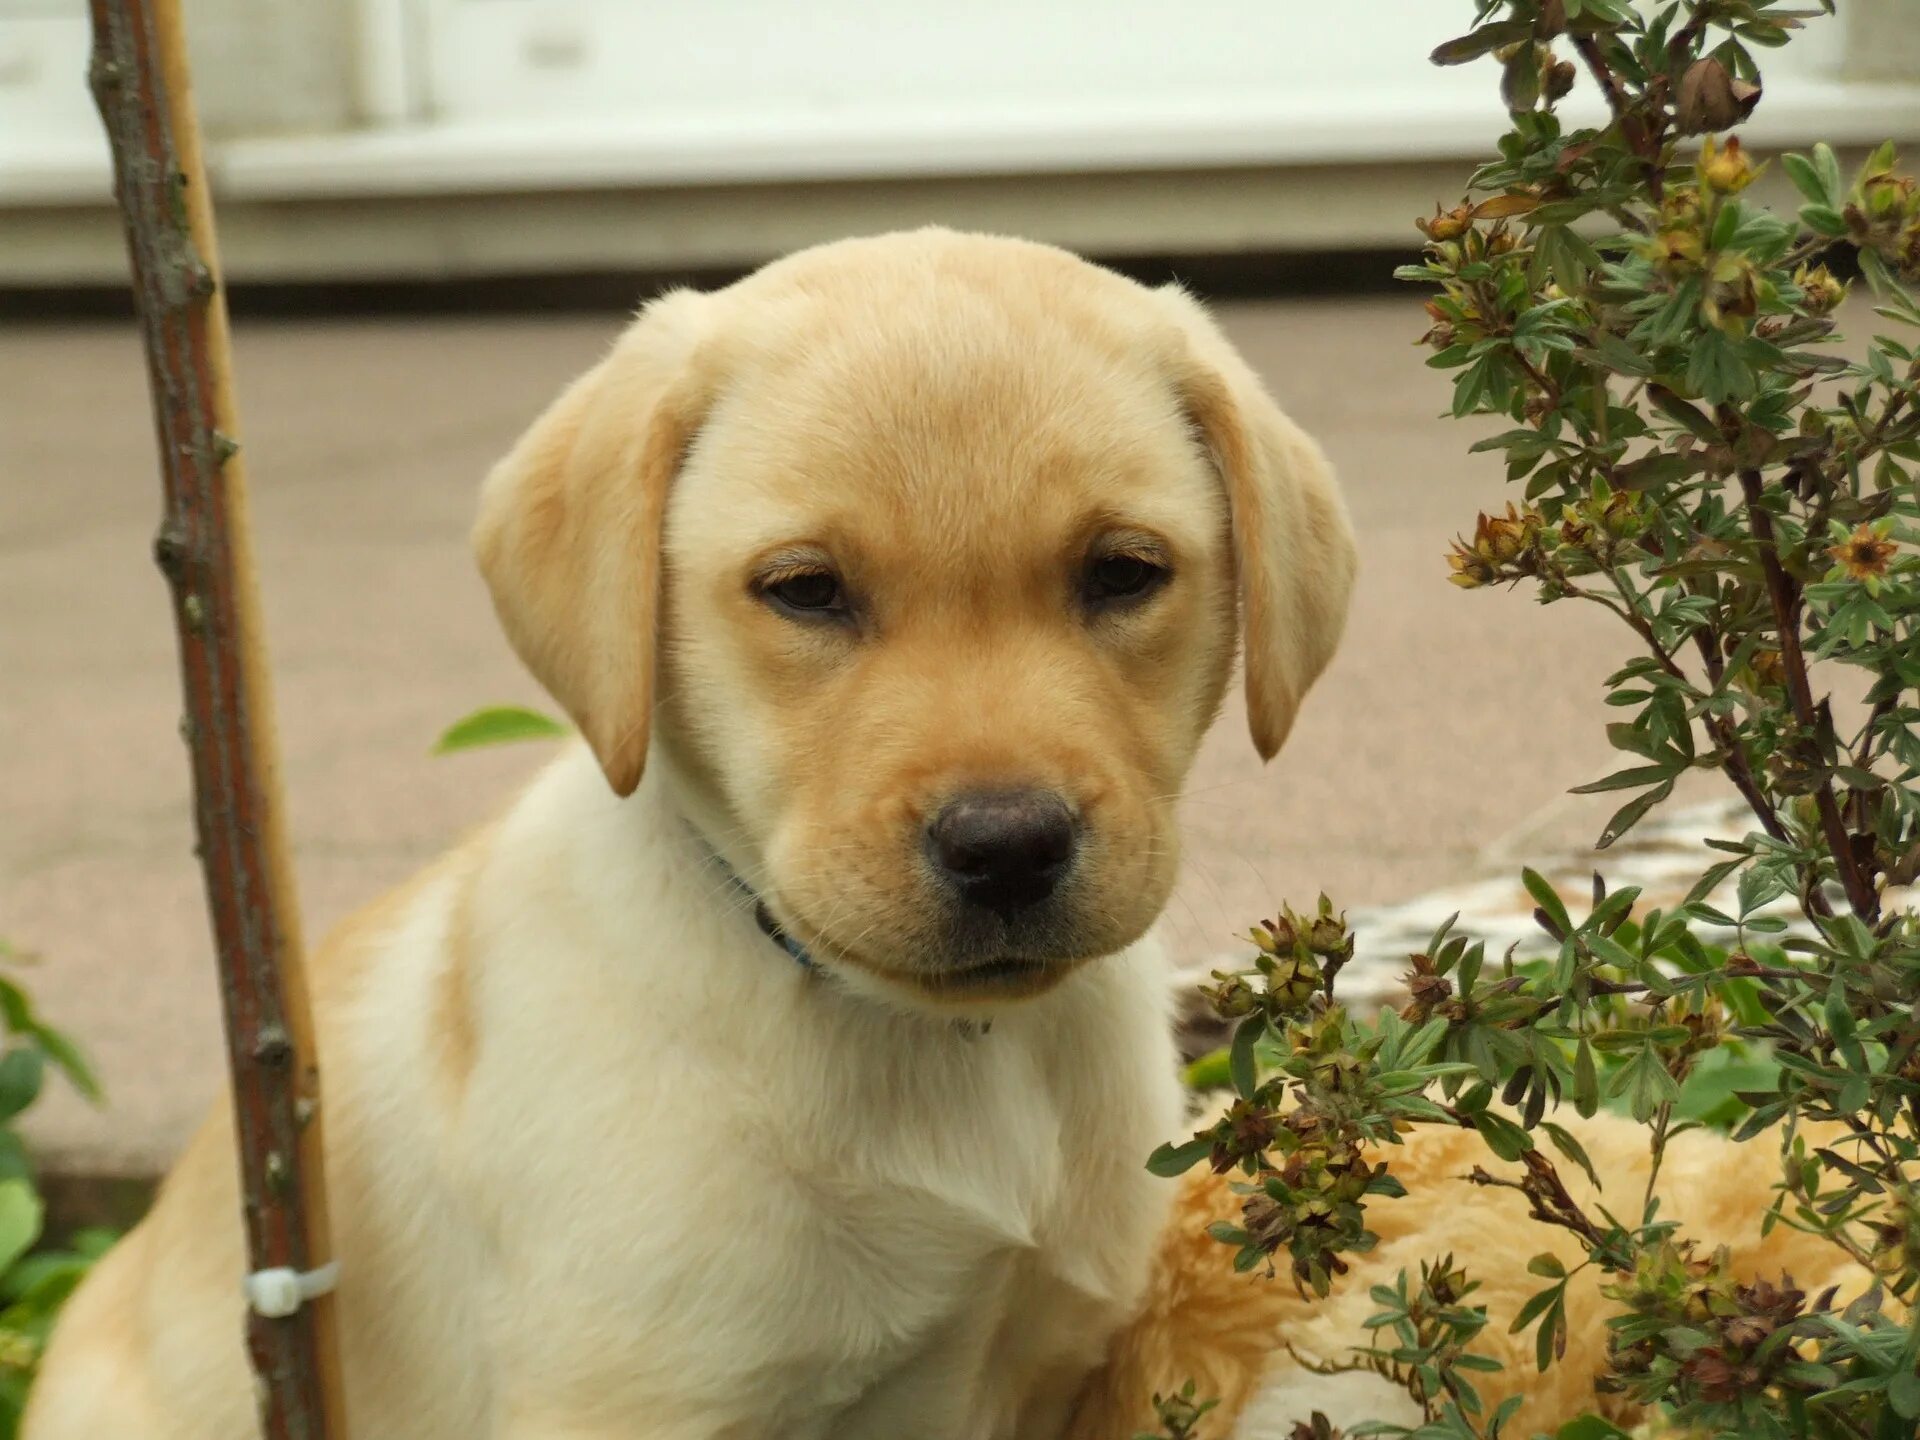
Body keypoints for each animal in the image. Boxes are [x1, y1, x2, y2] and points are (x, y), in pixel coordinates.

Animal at [26, 228, 1351, 1440]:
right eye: (805, 590)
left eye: (1124, 572)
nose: (1009, 844)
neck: (920, 1046)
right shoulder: (630, 1401)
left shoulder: (1046, 1370)